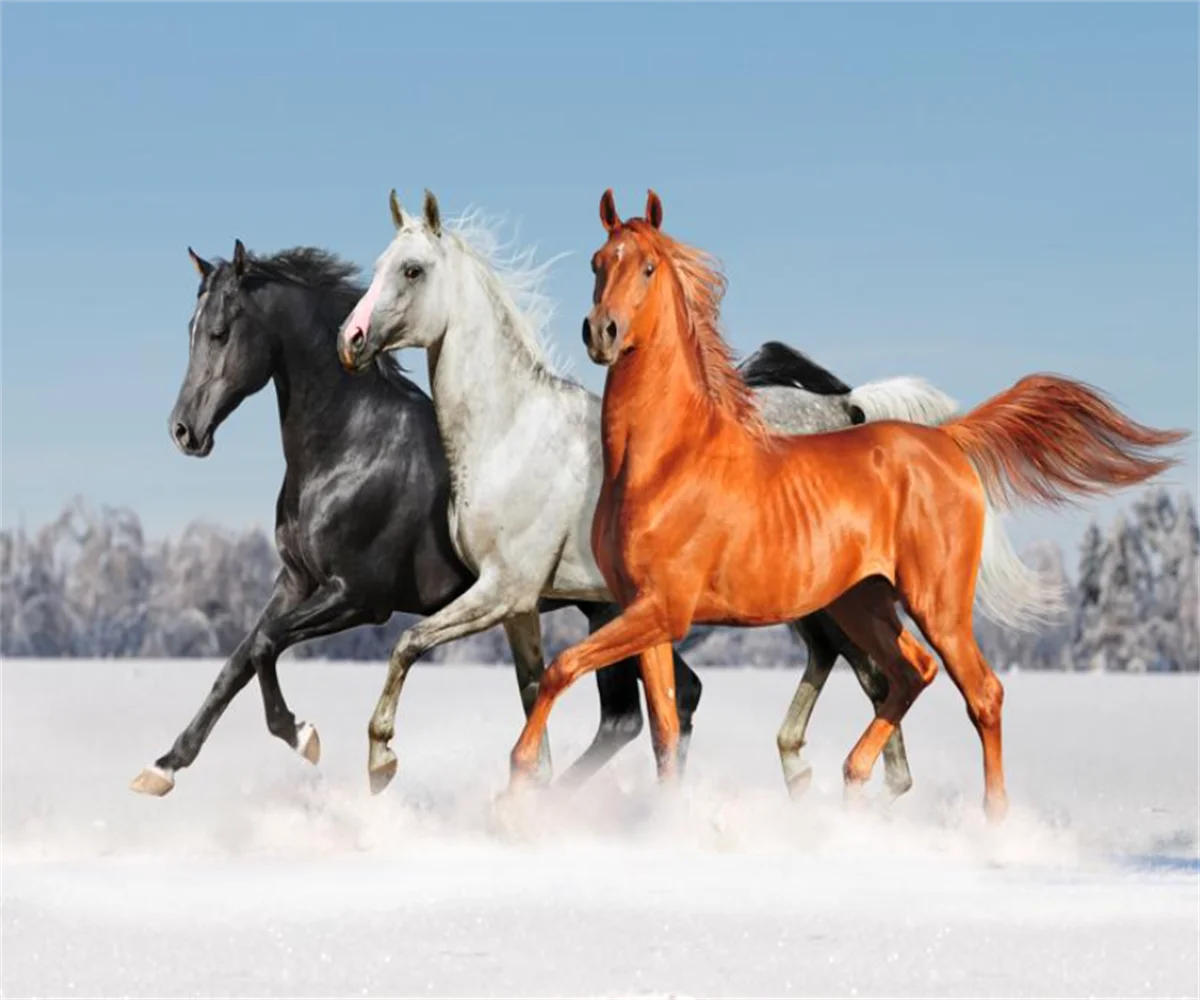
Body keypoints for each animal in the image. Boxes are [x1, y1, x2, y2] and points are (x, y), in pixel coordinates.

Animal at [130, 239, 708, 796]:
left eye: (220, 333)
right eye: (191, 330)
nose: (183, 431)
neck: (351, 445)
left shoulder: (359, 597)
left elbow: (267, 644)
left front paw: (303, 735)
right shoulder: (296, 581)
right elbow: (238, 661)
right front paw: (163, 767)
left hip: (608, 609)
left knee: (636, 713)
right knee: (665, 701)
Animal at [336, 190, 960, 798]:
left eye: (412, 270)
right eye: (380, 264)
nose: (351, 341)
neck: (511, 429)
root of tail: (846, 408)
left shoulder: (502, 590)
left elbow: (408, 642)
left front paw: (380, 759)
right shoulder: (520, 608)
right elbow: (533, 694)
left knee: (875, 675)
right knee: (856, 668)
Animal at [506, 188, 1187, 821]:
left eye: (647, 267)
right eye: (598, 261)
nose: (601, 332)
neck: (666, 459)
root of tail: (946, 440)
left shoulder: (663, 610)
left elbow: (561, 668)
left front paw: (515, 781)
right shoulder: (642, 611)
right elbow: (665, 733)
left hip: (935, 604)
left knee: (981, 692)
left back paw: (991, 824)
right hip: (863, 602)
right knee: (910, 673)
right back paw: (853, 778)